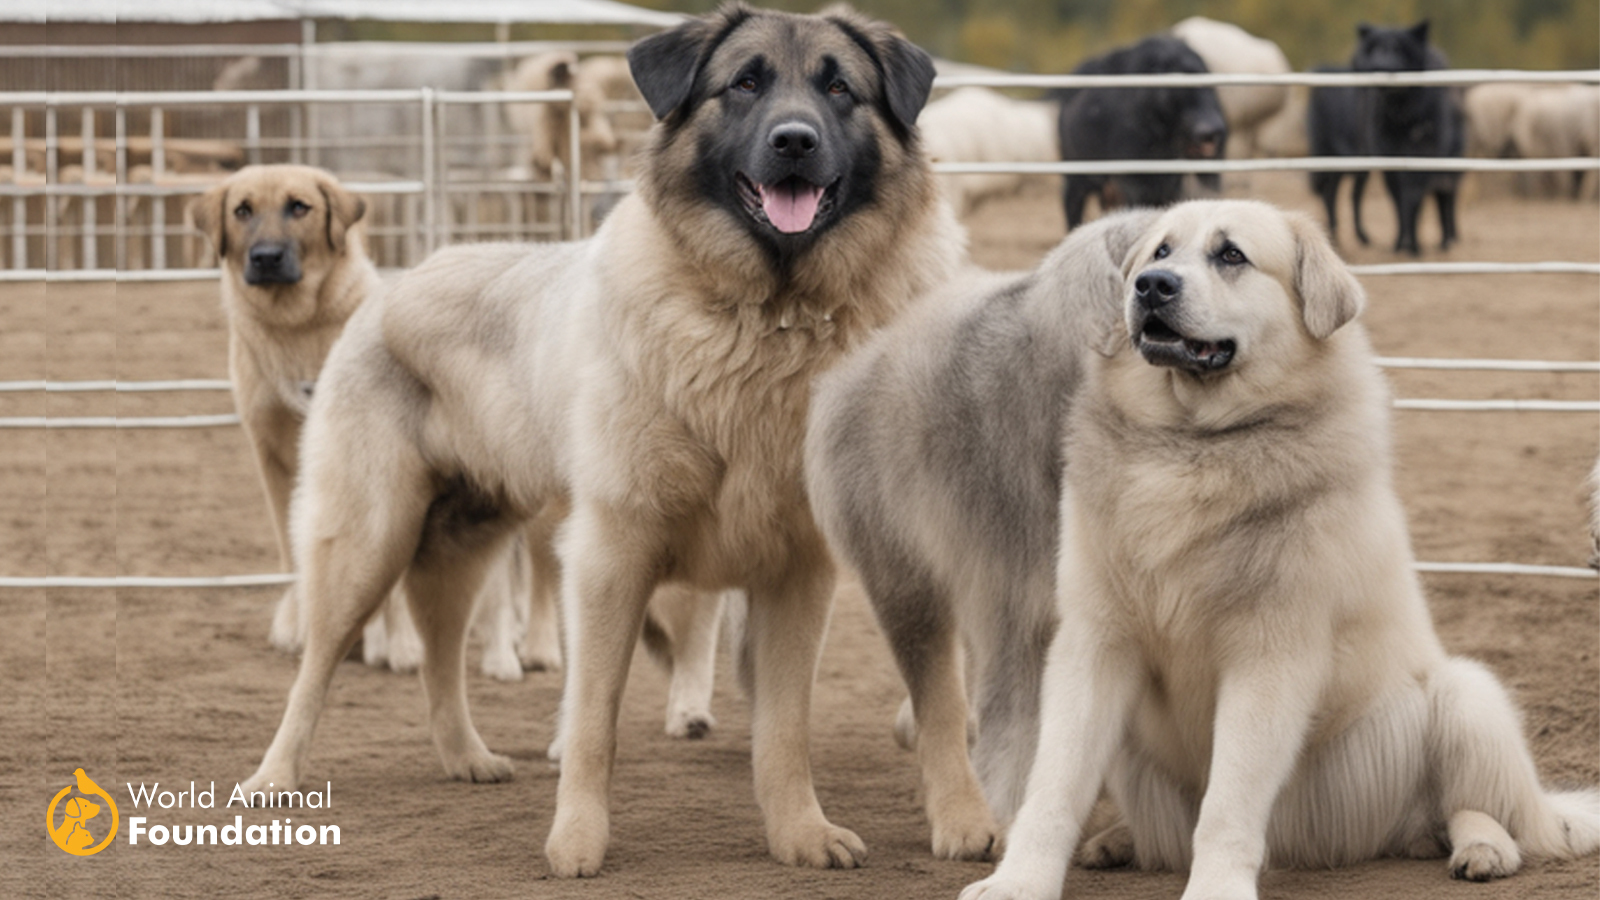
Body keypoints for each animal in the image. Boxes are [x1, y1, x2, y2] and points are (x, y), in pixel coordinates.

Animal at [1056, 35, 1228, 229]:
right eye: (1178, 89)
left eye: (1209, 86)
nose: (1212, 129)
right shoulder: (1133, 181)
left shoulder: (1170, 184)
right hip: (1077, 177)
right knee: (1072, 204)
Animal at [1312, 21, 1465, 253]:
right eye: (1373, 48)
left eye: (1400, 48)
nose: (1378, 66)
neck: (1401, 116)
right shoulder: (1387, 156)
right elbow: (1399, 200)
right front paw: (1402, 244)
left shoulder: (1424, 154)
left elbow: (1414, 198)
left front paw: (1414, 246)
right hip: (1334, 154)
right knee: (1334, 191)